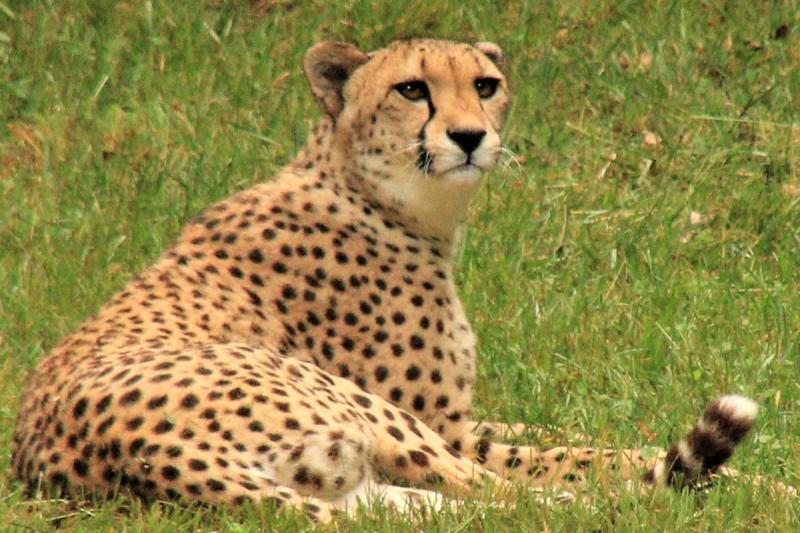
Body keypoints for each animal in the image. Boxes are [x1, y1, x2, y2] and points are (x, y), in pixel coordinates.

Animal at [11, 39, 759, 523]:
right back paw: (640, 502)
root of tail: (120, 455)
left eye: (484, 85)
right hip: (360, 411)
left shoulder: (459, 419)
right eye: (412, 89)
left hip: (358, 487)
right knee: (509, 500)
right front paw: (759, 484)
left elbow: (575, 434)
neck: (378, 195)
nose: (468, 137)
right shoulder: (445, 426)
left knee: (451, 509)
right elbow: (568, 454)